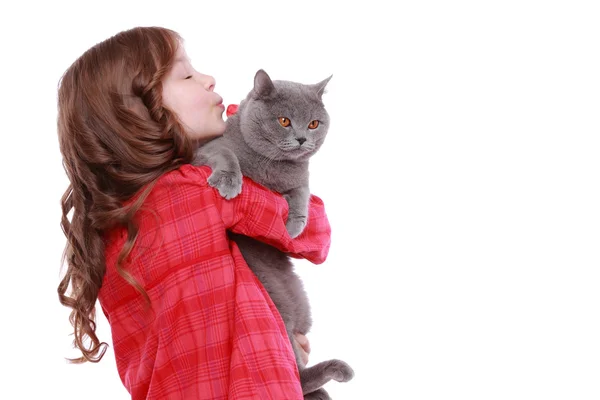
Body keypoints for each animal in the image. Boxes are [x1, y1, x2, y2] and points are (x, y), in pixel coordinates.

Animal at [192, 70, 354, 398]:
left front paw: (294, 226)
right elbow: (226, 153)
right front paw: (230, 182)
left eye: (314, 123)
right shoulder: (206, 150)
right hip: (272, 299)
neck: (271, 170)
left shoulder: (301, 179)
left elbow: (303, 194)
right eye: (284, 120)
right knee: (294, 371)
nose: (302, 137)